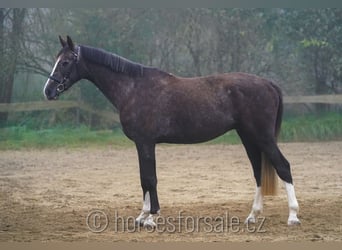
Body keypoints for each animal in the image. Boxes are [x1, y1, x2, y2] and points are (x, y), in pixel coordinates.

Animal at [42, 36, 300, 228]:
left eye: (65, 62)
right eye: (57, 60)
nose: (48, 91)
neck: (133, 88)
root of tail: (268, 84)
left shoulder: (145, 142)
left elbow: (149, 178)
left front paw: (151, 216)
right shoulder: (143, 144)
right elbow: (145, 178)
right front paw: (143, 216)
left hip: (262, 137)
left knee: (283, 166)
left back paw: (293, 216)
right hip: (248, 137)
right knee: (258, 171)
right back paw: (253, 216)